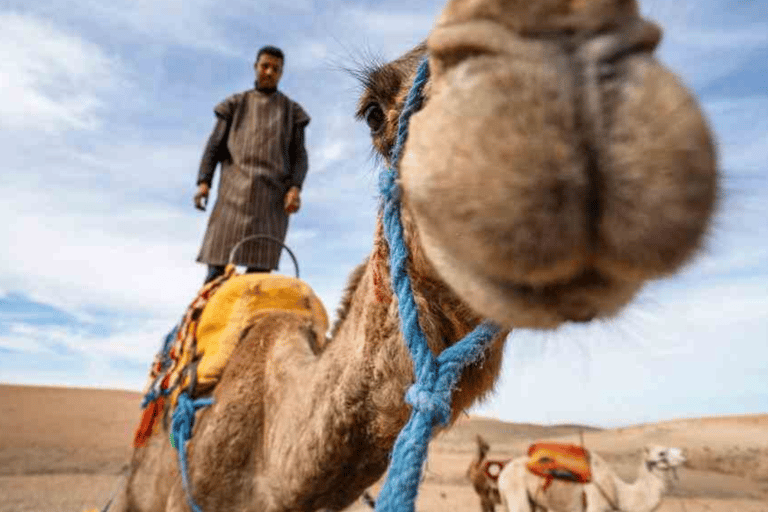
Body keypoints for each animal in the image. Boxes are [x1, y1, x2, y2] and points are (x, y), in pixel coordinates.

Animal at [500, 444, 688, 512]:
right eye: (662, 453)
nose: (683, 454)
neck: (617, 491)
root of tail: (502, 474)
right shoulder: (596, 505)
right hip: (515, 493)